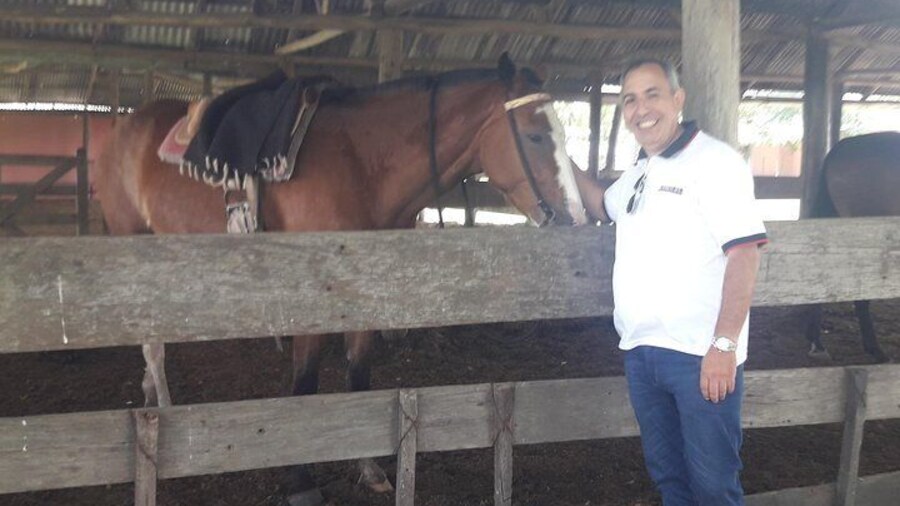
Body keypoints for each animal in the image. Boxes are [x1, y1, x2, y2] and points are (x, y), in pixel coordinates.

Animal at [94, 55, 586, 506]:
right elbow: (305, 385)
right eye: (535, 135)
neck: (361, 164)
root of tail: (124, 127)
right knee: (151, 342)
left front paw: (368, 467)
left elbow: (359, 377)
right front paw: (300, 483)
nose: (575, 219)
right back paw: (163, 407)